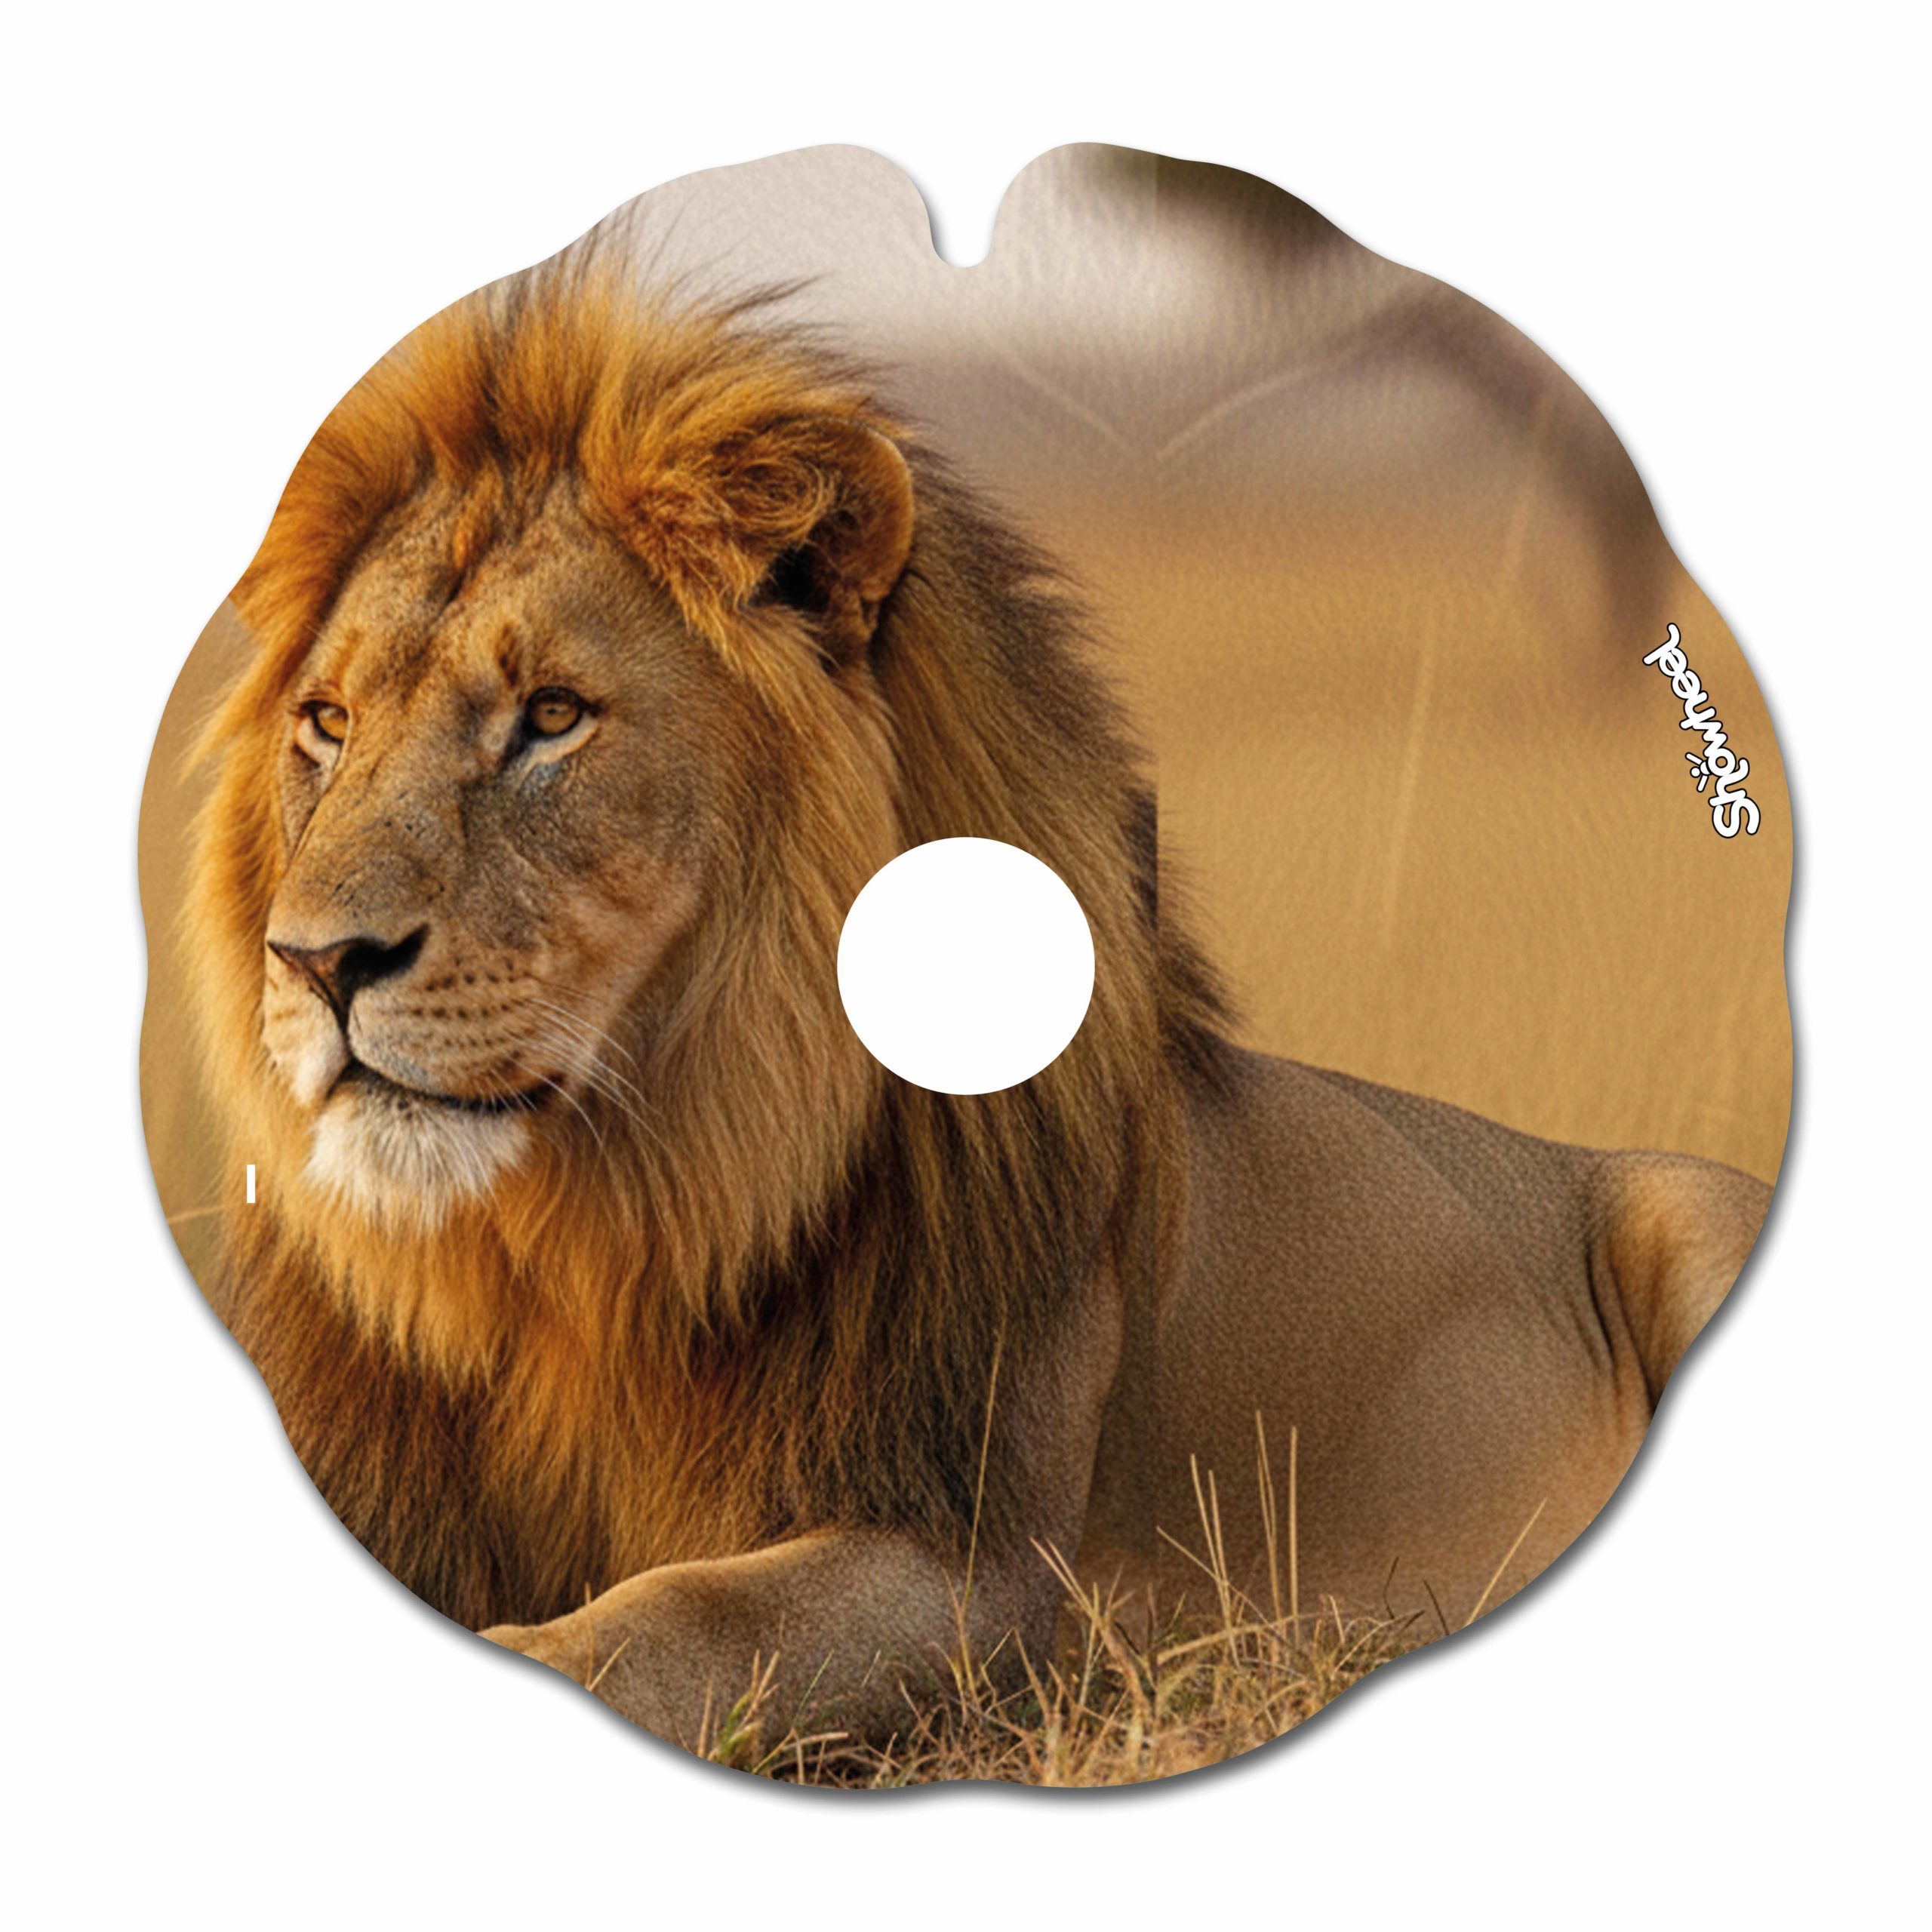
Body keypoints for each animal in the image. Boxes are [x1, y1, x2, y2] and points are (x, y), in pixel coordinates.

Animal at [184, 250, 1771, 1758]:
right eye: (327, 725)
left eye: (555, 718)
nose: (315, 963)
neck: (611, 1237)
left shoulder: (988, 1569)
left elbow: (686, 1620)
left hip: (1691, 1218)